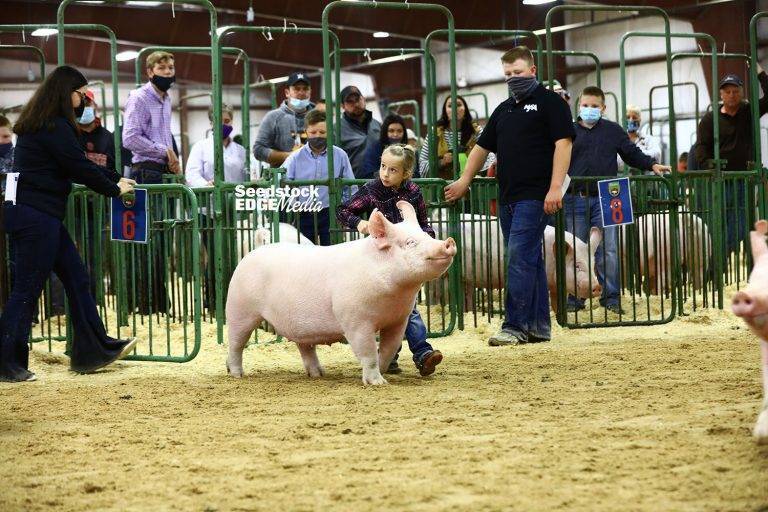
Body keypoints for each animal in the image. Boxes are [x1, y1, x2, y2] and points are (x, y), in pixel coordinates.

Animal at [226, 202, 456, 386]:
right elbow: (369, 353)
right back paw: (236, 374)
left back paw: (319, 374)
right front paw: (377, 383)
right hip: (240, 309)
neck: (395, 295)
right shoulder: (355, 320)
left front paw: (383, 375)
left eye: (427, 235)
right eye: (410, 242)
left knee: (305, 347)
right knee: (236, 343)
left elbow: (388, 350)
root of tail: (252, 252)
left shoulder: (398, 320)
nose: (449, 242)